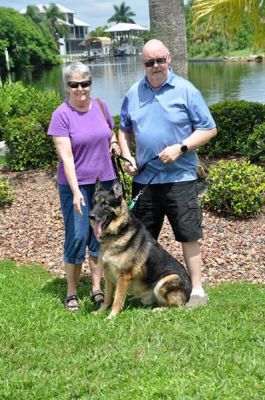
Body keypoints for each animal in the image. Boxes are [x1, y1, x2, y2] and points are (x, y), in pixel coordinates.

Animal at [89, 179, 191, 318]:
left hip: (166, 280)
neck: (117, 233)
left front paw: (112, 316)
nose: (91, 216)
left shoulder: (123, 277)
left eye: (105, 204)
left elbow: (117, 299)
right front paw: (100, 311)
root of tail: (189, 295)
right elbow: (108, 298)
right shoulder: (108, 275)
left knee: (176, 307)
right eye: (94, 202)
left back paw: (159, 309)